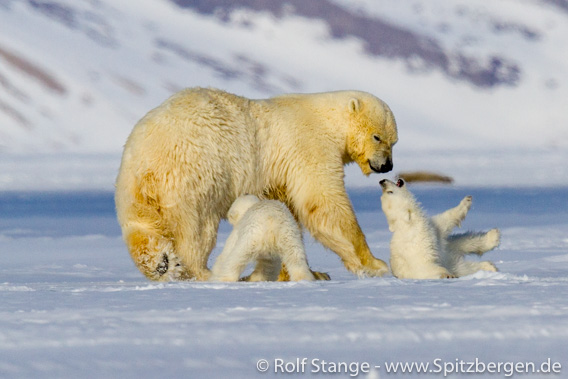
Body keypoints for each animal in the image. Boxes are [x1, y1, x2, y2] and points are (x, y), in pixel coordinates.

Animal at [115, 87, 398, 282]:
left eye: (394, 141)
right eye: (378, 137)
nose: (386, 165)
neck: (326, 120)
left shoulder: (278, 176)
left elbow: (289, 213)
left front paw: (310, 273)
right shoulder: (308, 147)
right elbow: (323, 203)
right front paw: (375, 264)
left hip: (134, 186)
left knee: (141, 227)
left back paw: (162, 264)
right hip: (194, 173)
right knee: (196, 229)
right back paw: (201, 271)